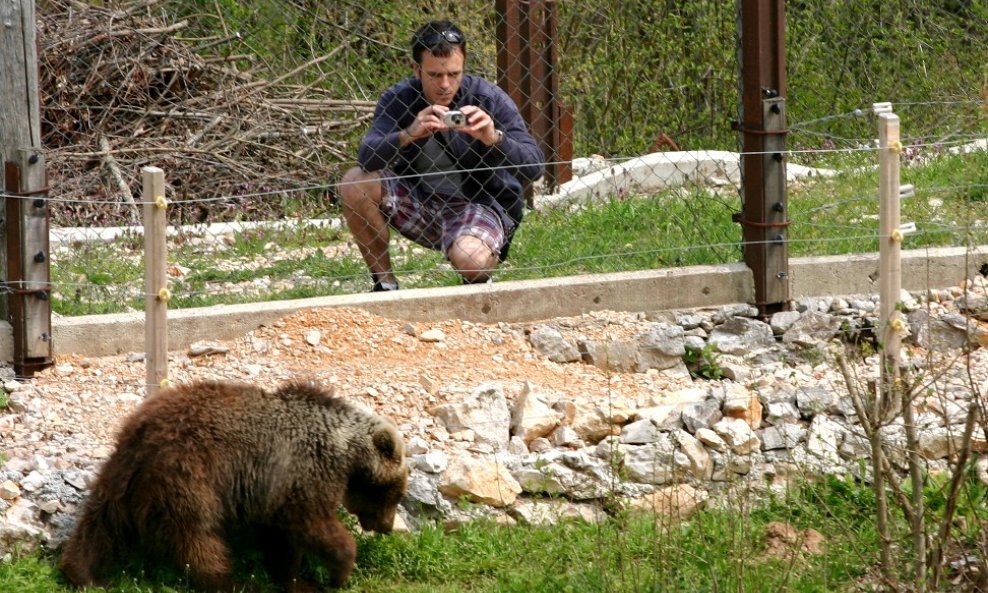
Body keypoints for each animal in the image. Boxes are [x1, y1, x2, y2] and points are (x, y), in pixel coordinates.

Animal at [58, 376, 410, 588]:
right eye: (395, 492)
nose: (386, 527)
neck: (345, 450)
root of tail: (145, 434)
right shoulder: (306, 474)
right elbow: (311, 524)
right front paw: (340, 571)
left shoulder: (274, 489)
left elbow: (280, 539)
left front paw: (294, 578)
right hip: (189, 475)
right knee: (198, 536)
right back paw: (231, 580)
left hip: (121, 473)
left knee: (99, 522)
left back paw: (82, 573)